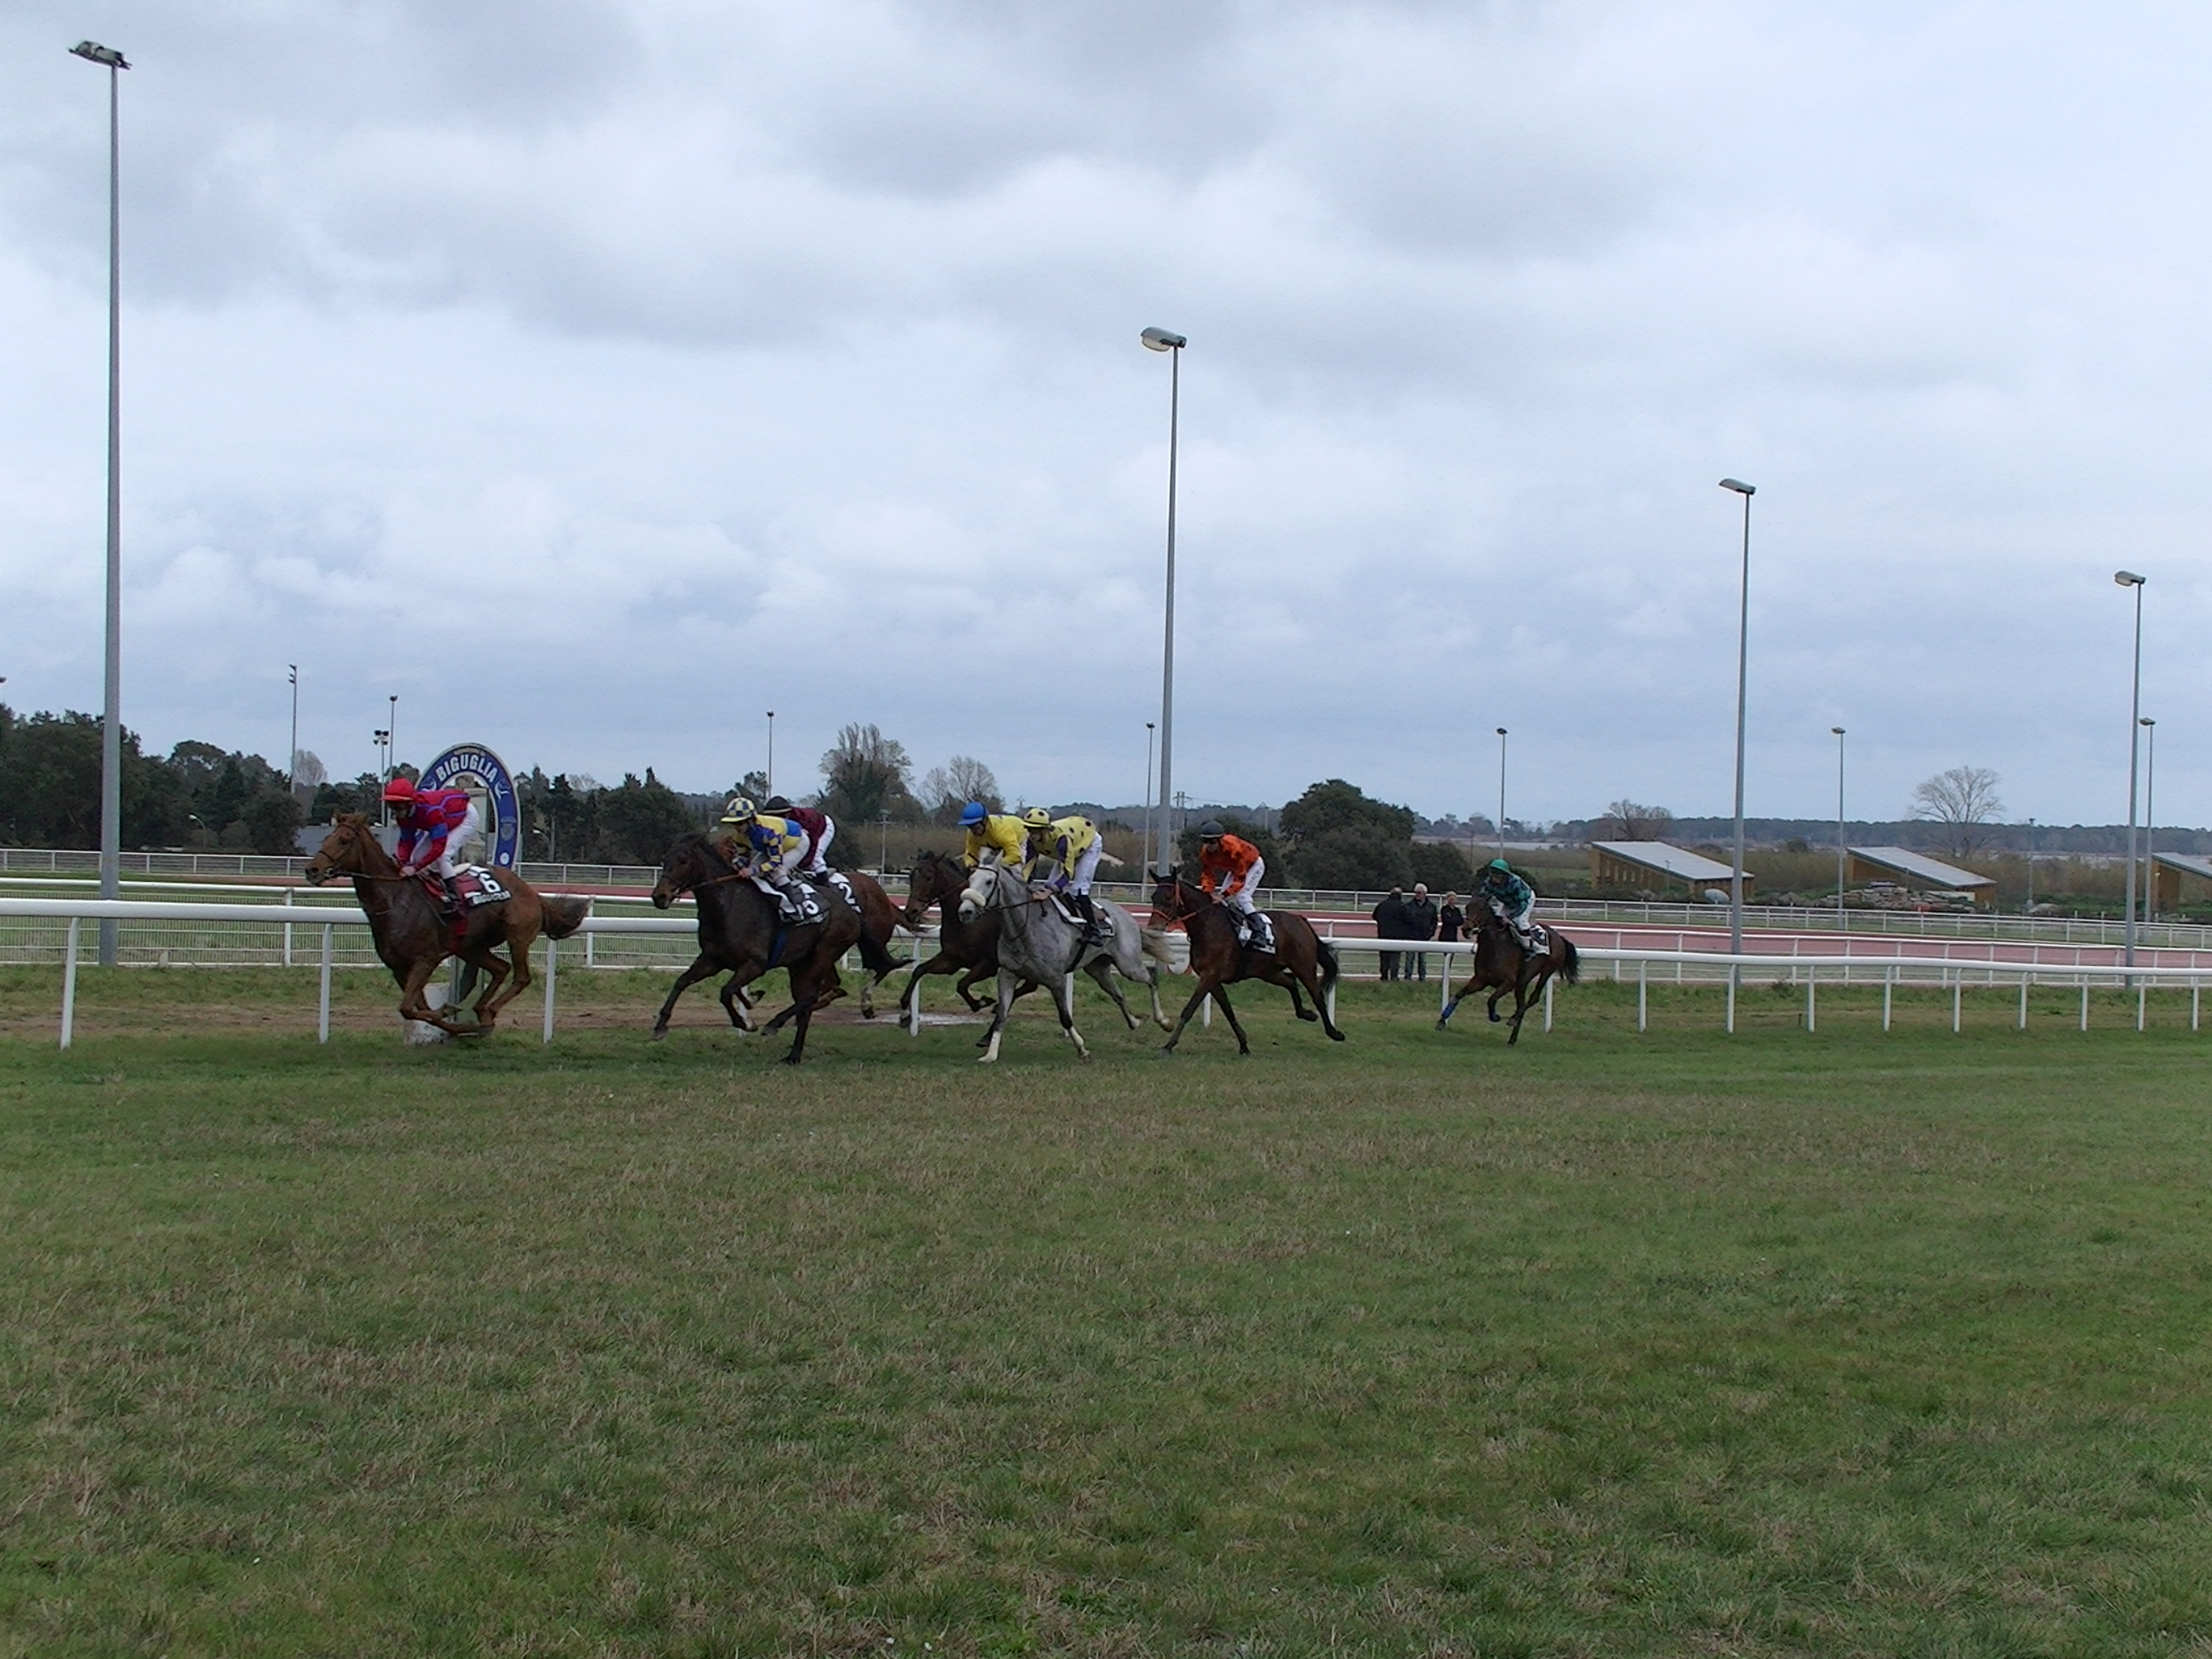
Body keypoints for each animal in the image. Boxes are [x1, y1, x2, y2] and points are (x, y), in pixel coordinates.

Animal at [307, 818, 597, 1039]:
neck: (395, 900)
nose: (312, 870)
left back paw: (489, 1011)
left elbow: (408, 1007)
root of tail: (533, 893)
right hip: (470, 946)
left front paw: (449, 1011)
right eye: (327, 838)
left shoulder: (426, 959)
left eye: (344, 840)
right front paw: (457, 1022)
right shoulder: (399, 968)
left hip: (517, 935)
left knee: (521, 977)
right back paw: (481, 1012)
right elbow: (412, 1009)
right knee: (500, 969)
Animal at [646, 831, 858, 1066]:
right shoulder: (712, 960)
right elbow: (682, 982)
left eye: (683, 860)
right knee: (807, 1003)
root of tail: (850, 908)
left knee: (809, 998)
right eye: (665, 860)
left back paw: (774, 1025)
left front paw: (745, 1023)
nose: (659, 896)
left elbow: (726, 992)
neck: (728, 906)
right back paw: (793, 1056)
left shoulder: (755, 964)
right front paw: (661, 1026)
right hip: (800, 964)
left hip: (824, 953)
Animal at [964, 858, 1177, 1066]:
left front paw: (1082, 1050)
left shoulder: (1055, 979)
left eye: (989, 881)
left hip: (1129, 965)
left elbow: (1065, 1018)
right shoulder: (1008, 974)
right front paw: (990, 1054)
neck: (1025, 926)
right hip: (1098, 968)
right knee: (1118, 994)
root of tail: (1126, 915)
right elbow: (1001, 1014)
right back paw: (1134, 1021)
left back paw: (1164, 1021)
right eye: (970, 879)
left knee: (1151, 978)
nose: (965, 911)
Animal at [1141, 876, 1345, 1057]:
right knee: (1290, 981)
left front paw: (1168, 1046)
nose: (1153, 927)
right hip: (1267, 971)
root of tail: (1301, 920)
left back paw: (1334, 1032)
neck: (1208, 925)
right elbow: (1228, 1011)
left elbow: (1189, 1009)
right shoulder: (1213, 979)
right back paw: (1306, 1014)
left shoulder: (1210, 975)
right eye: (1153, 897)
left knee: (1317, 996)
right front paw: (1244, 1045)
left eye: (1168, 898)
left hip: (1303, 966)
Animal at [1442, 902, 1584, 1044]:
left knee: (1532, 999)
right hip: (1523, 982)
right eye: (1467, 907)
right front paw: (1442, 1020)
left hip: (1547, 970)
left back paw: (1513, 1019)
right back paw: (1512, 1037)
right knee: (1521, 1002)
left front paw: (1495, 1016)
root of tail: (1559, 937)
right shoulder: (1480, 980)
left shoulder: (1508, 983)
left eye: (1481, 909)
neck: (1495, 947)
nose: (1466, 929)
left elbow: (1491, 1000)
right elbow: (1460, 994)